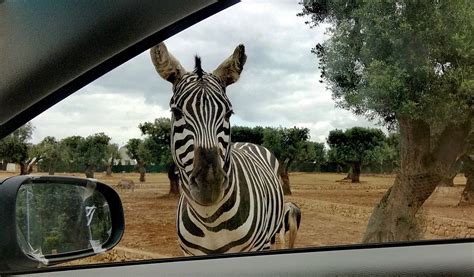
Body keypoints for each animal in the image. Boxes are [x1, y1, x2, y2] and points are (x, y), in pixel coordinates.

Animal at [150, 41, 284, 254]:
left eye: (229, 114)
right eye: (176, 112)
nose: (209, 185)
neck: (209, 220)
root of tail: (247, 143)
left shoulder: (255, 247)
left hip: (268, 238)